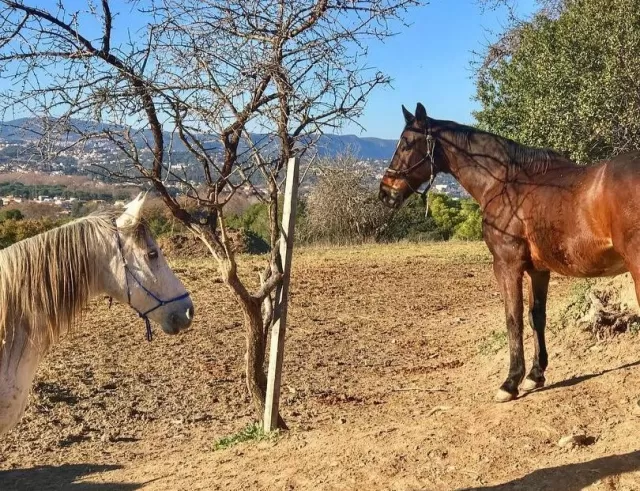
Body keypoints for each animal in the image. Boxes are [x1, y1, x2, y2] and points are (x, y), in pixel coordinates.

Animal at [379, 102, 640, 403]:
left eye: (407, 143)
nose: (385, 193)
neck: (505, 182)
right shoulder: (539, 271)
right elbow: (536, 317)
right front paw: (535, 375)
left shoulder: (507, 266)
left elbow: (512, 318)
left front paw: (510, 382)